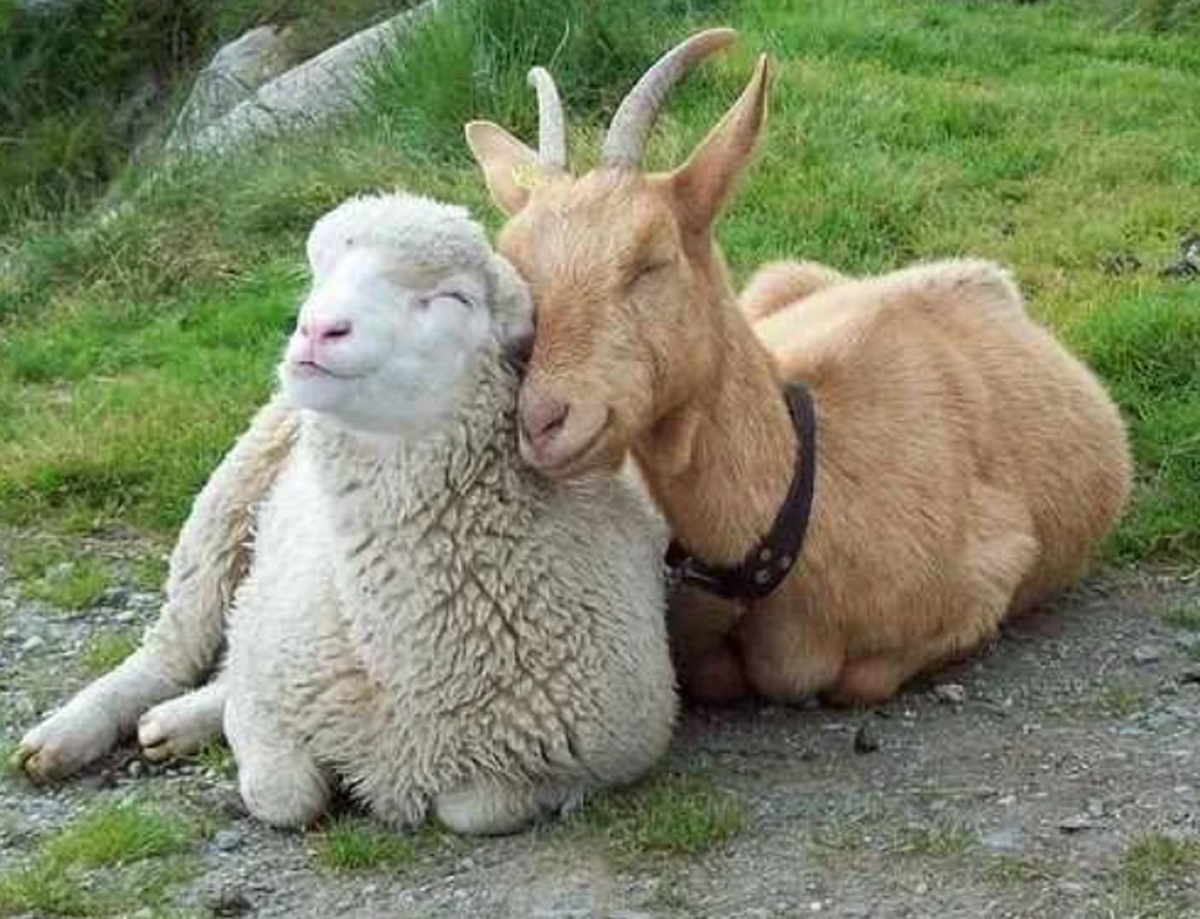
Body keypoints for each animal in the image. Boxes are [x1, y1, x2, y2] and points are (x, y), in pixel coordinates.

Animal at [463, 30, 1133, 706]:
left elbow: (858, 679)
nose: (543, 421)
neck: (813, 499)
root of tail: (988, 277)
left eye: (651, 259)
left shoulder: (995, 570)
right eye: (514, 264)